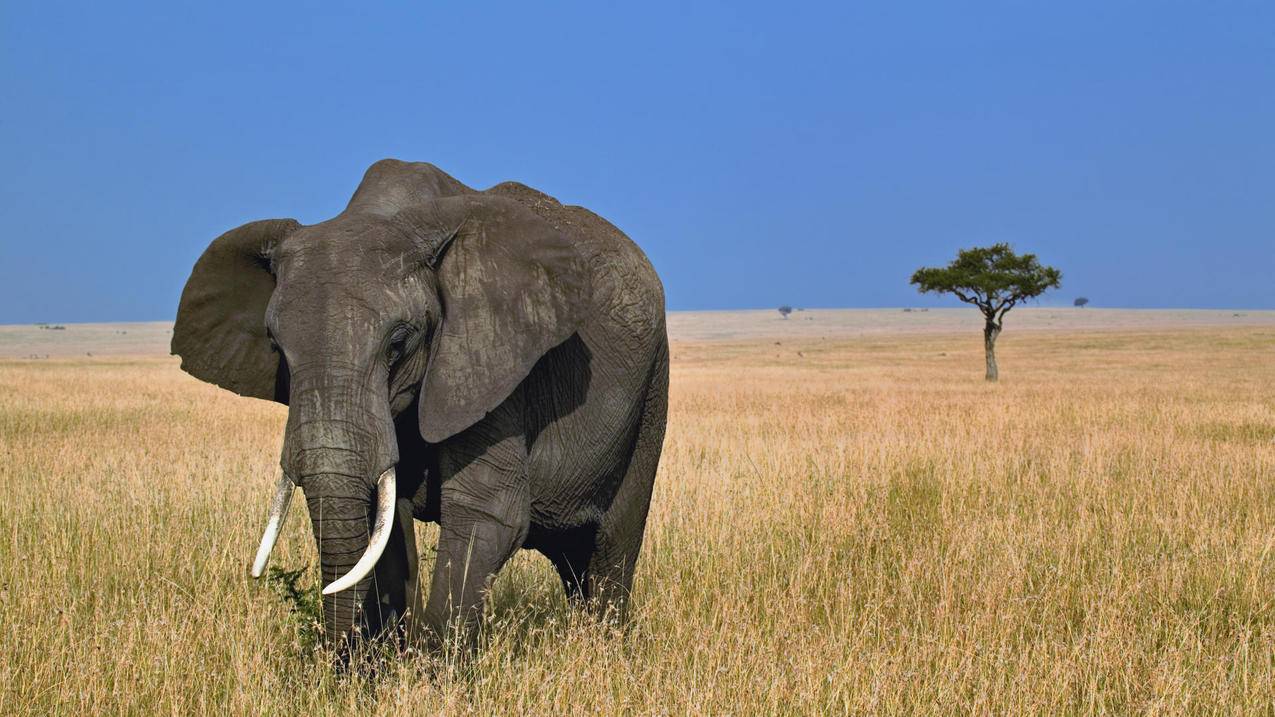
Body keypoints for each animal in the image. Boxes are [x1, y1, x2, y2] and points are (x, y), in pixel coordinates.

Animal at [174, 158, 673, 650]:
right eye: (277, 347)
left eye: (398, 344)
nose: (339, 657)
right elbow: (385, 523)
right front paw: (383, 661)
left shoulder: (489, 358)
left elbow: (487, 511)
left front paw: (432, 668)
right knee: (572, 560)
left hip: (652, 387)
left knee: (611, 546)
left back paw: (605, 647)